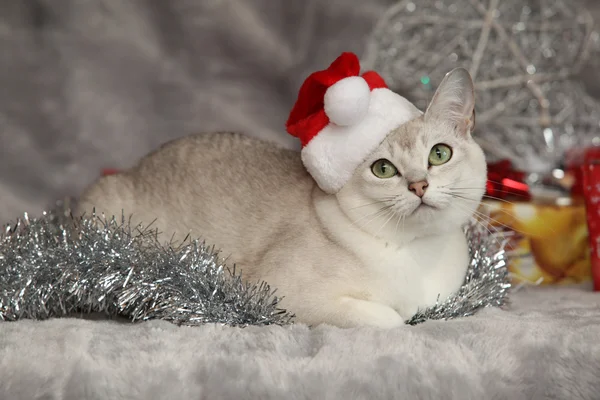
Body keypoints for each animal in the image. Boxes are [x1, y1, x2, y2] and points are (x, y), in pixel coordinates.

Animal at [75, 65, 488, 328]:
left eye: (439, 154)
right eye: (383, 169)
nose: (419, 185)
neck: (419, 252)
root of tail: (133, 167)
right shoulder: (290, 297)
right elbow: (392, 319)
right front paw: (402, 315)